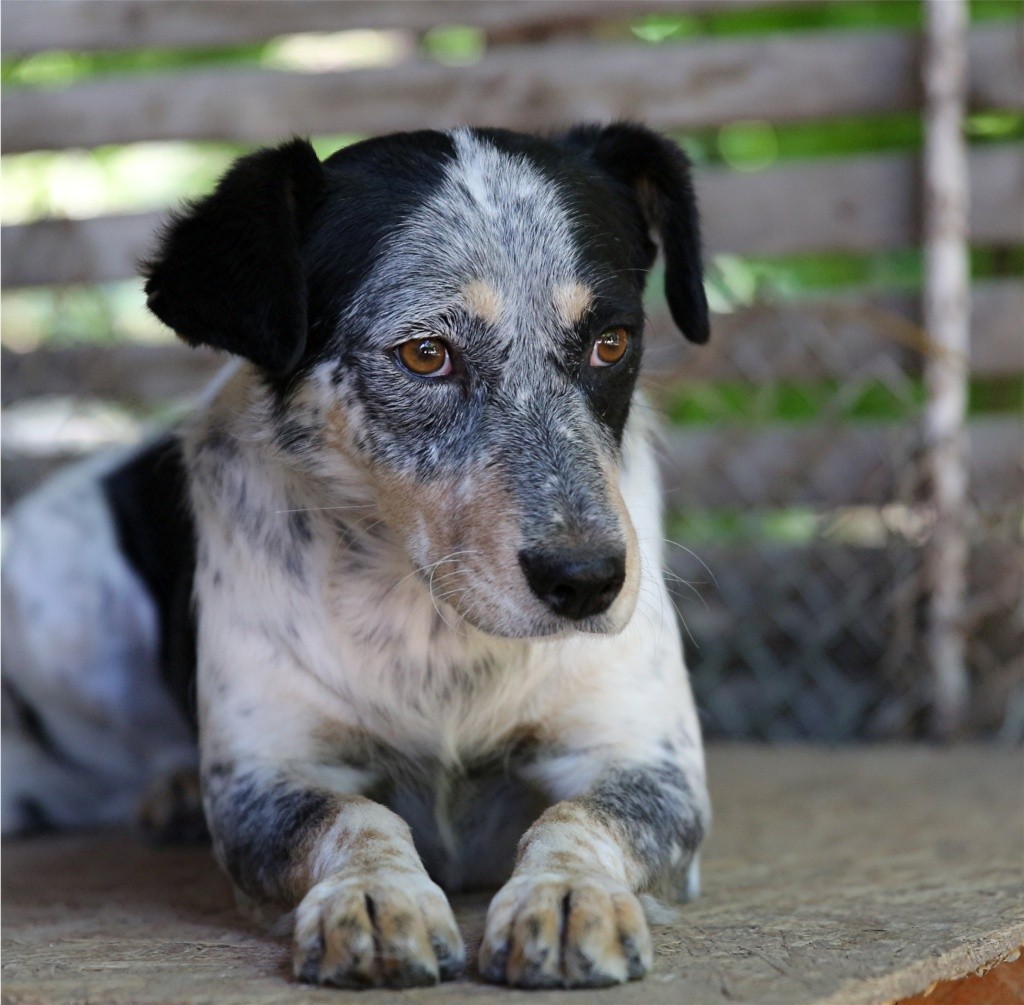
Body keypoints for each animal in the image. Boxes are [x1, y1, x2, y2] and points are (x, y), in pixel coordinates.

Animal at [4, 125, 712, 987]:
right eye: (425, 354)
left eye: (611, 342)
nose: (587, 581)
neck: (434, 629)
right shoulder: (264, 778)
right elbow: (353, 815)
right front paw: (375, 898)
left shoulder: (647, 760)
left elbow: (578, 815)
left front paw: (566, 893)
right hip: (55, 610)